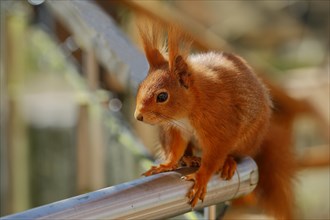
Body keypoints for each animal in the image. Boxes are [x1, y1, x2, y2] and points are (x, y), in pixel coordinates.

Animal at [135, 23, 296, 219]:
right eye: (140, 86)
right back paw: (190, 158)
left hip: (248, 141)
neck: (189, 111)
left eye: (162, 96)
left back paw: (228, 162)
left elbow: (213, 156)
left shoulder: (220, 126)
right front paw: (166, 164)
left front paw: (200, 178)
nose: (138, 116)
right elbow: (175, 149)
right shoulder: (177, 129)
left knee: (233, 154)